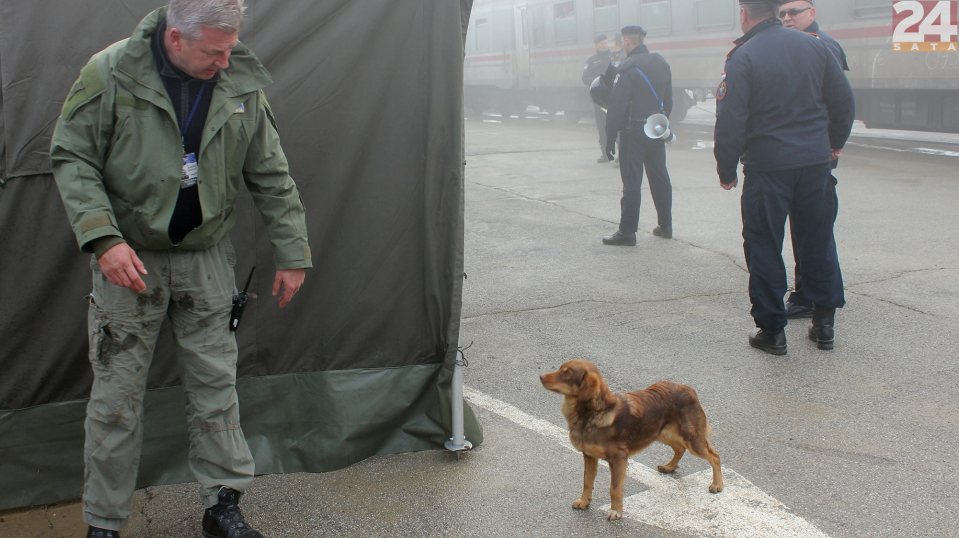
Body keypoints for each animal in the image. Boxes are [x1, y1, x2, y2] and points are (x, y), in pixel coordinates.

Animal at [540, 358, 720, 516]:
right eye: (560, 368)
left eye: (567, 373)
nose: (540, 376)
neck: (594, 413)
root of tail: (689, 389)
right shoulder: (589, 456)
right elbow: (587, 482)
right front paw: (584, 502)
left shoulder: (619, 458)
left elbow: (614, 489)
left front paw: (616, 512)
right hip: (661, 432)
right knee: (680, 448)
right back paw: (669, 467)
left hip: (691, 439)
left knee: (714, 456)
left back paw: (717, 485)